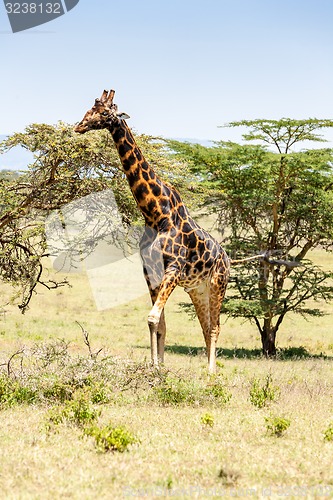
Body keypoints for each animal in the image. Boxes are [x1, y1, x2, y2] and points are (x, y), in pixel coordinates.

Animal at [74, 89, 230, 372]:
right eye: (89, 109)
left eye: (105, 112)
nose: (79, 126)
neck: (155, 213)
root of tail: (227, 257)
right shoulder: (150, 271)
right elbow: (159, 323)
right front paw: (156, 368)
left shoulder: (173, 268)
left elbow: (152, 318)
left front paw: (156, 367)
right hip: (197, 289)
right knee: (206, 327)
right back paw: (206, 369)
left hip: (217, 284)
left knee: (215, 327)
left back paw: (211, 373)